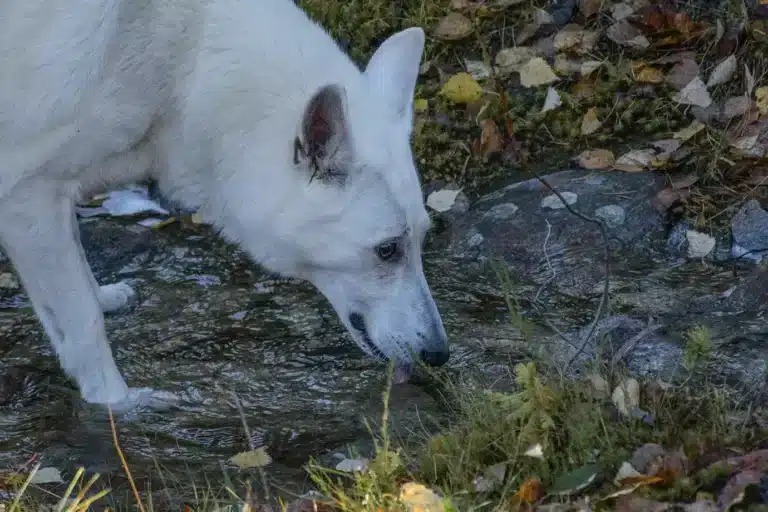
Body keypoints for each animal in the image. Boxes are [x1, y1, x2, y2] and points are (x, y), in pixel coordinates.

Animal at [1, 0, 450, 410]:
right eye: (387, 250)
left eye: (422, 242)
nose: (440, 354)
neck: (185, 64)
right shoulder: (28, 195)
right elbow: (84, 322)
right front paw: (117, 403)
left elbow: (78, 288)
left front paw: (102, 298)